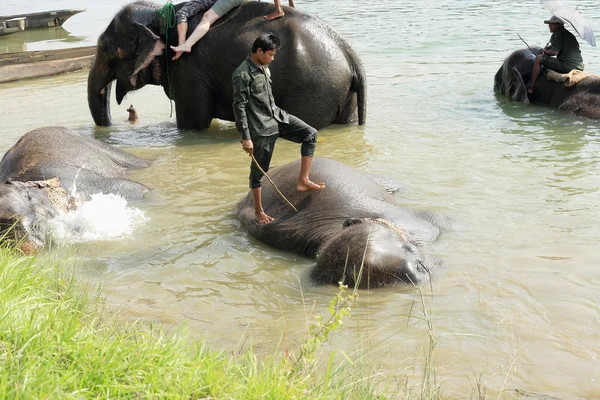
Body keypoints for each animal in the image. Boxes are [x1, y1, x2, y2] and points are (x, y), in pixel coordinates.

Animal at [88, 0, 366, 130]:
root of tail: (350, 53)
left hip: (313, 89)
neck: (158, 13)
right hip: (339, 93)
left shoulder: (187, 68)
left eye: (104, 48)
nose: (128, 115)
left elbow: (194, 122)